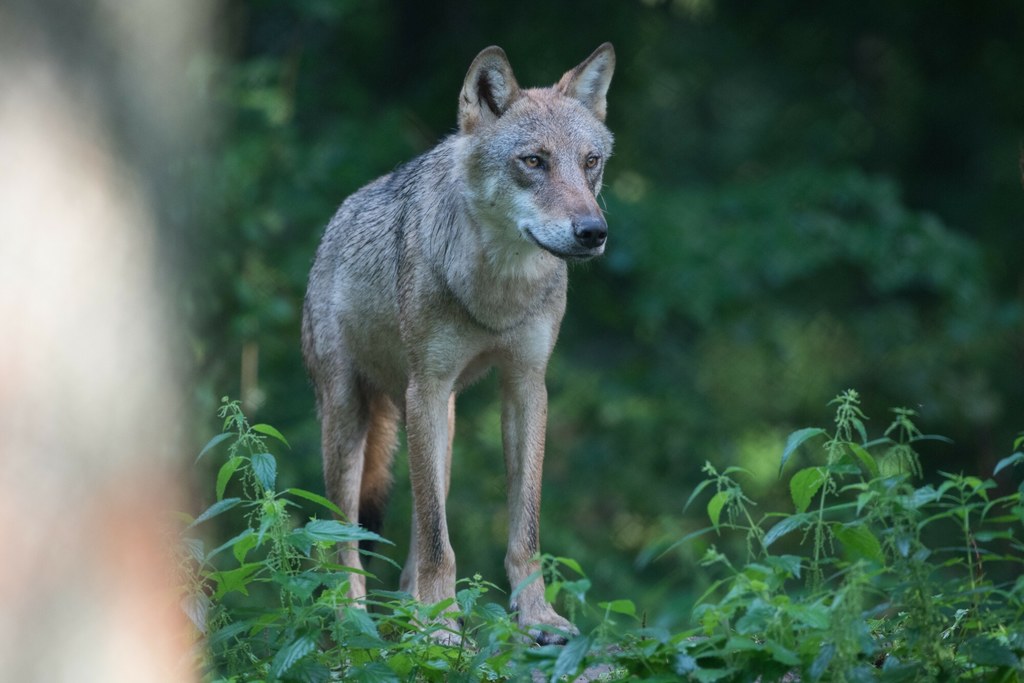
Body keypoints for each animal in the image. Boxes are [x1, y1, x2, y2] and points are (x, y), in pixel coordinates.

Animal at [299, 44, 610, 647]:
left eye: (590, 162)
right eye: (533, 161)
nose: (593, 231)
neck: (497, 292)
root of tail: (336, 220)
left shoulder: (526, 387)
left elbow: (524, 532)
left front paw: (538, 619)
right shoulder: (427, 386)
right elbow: (437, 543)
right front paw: (443, 630)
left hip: (442, 421)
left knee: (418, 534)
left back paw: (410, 612)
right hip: (353, 420)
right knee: (345, 546)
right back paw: (359, 625)